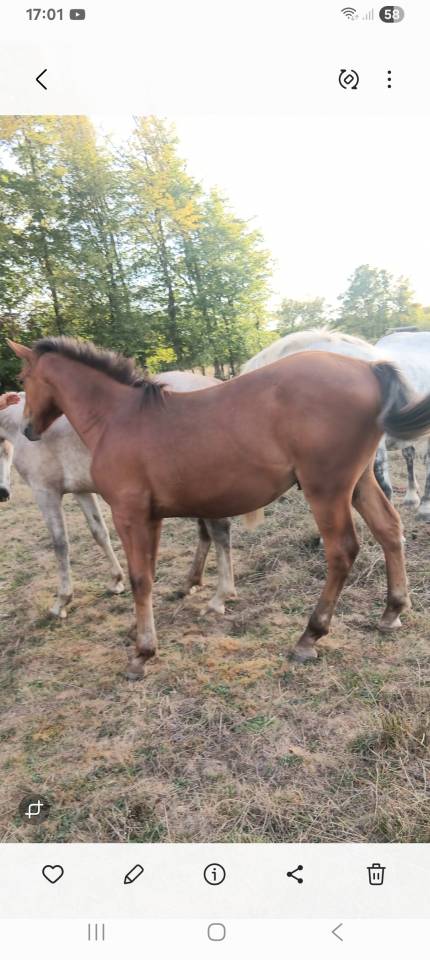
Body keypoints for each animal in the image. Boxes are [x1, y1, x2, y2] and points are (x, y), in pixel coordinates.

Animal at [0, 372, 236, 620]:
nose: (3, 493)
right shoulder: (81, 491)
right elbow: (99, 532)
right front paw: (116, 581)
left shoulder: (46, 492)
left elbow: (60, 544)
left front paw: (61, 601)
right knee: (206, 532)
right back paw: (189, 583)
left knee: (218, 530)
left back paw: (215, 596)